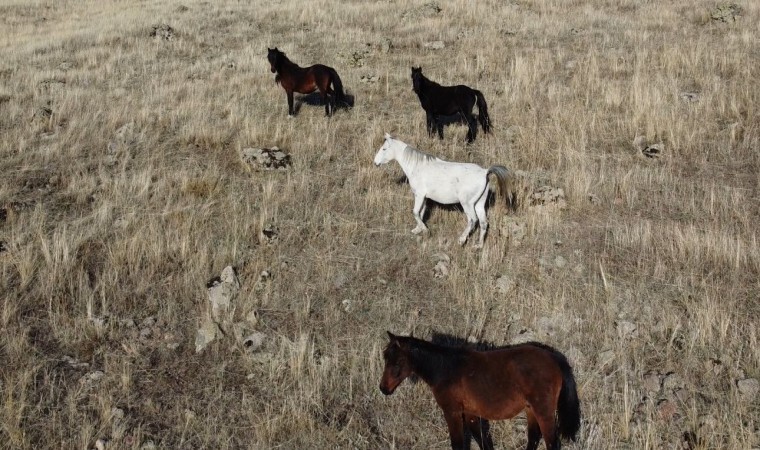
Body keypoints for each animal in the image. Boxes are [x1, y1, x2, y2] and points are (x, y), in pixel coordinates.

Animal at [372, 134, 510, 248]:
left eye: (384, 149)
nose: (375, 162)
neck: (417, 167)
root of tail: (485, 172)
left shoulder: (419, 195)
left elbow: (415, 212)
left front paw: (425, 230)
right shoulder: (424, 197)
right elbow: (421, 212)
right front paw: (417, 229)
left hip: (467, 204)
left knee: (472, 220)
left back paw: (461, 240)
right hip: (479, 204)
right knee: (483, 222)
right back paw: (479, 245)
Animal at [380, 332, 580, 448]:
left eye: (397, 362)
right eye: (385, 357)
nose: (384, 389)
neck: (446, 369)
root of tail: (553, 357)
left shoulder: (452, 412)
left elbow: (458, 444)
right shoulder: (471, 414)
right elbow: (483, 443)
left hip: (543, 412)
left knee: (552, 443)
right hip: (531, 410)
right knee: (534, 438)